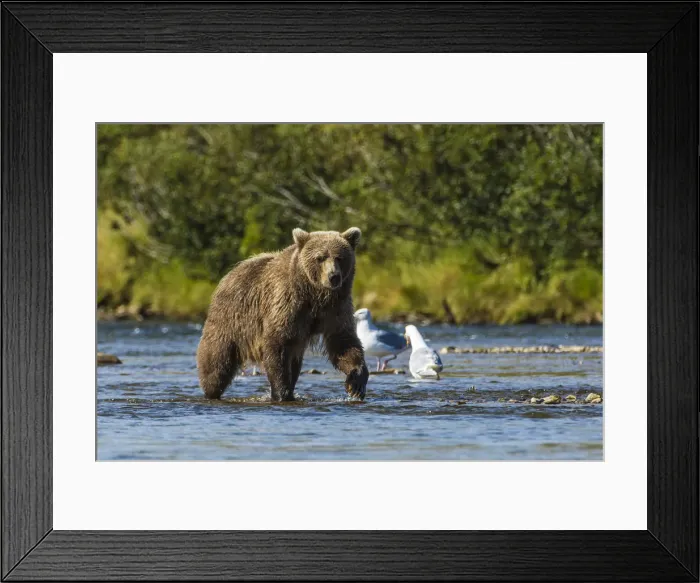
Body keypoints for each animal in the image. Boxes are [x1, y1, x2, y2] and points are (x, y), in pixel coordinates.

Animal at [196, 227, 369, 402]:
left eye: (340, 257)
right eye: (320, 257)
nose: (333, 276)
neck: (314, 294)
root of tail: (229, 274)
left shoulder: (336, 308)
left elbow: (343, 342)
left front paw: (356, 383)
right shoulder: (288, 303)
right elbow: (278, 344)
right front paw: (281, 392)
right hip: (231, 318)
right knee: (216, 359)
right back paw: (211, 390)